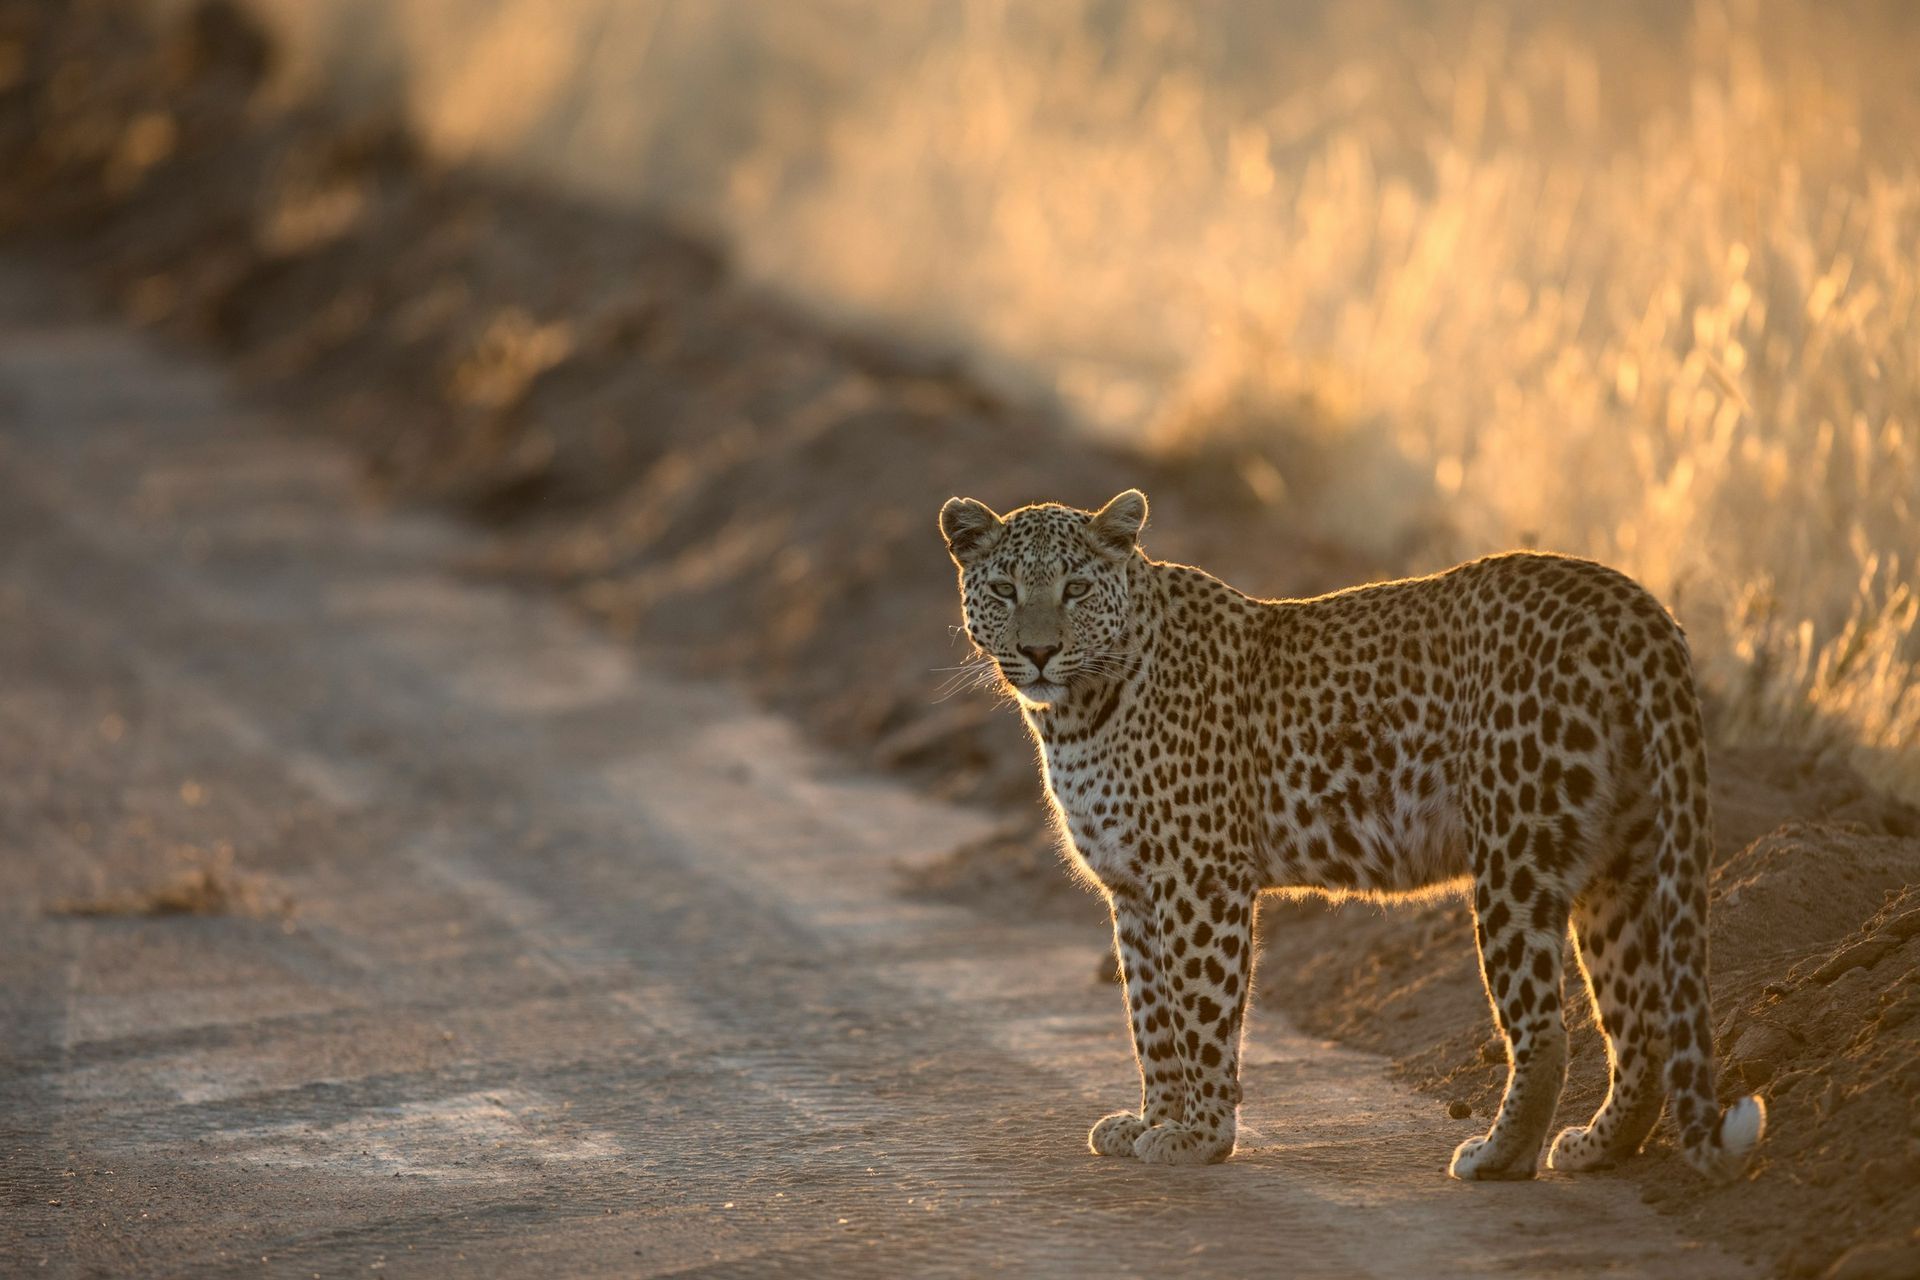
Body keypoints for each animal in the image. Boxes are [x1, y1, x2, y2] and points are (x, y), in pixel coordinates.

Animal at [939, 487, 1766, 1181]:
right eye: (1005, 590)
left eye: (1075, 589)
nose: (1040, 651)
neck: (1075, 714)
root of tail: (1630, 602)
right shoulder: (1134, 891)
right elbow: (1150, 1018)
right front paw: (1151, 1120)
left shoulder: (1201, 878)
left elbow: (1200, 1010)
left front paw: (1199, 1137)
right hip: (1618, 861)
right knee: (1642, 1021)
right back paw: (1599, 1147)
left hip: (1517, 854)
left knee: (1546, 1030)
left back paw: (1496, 1157)